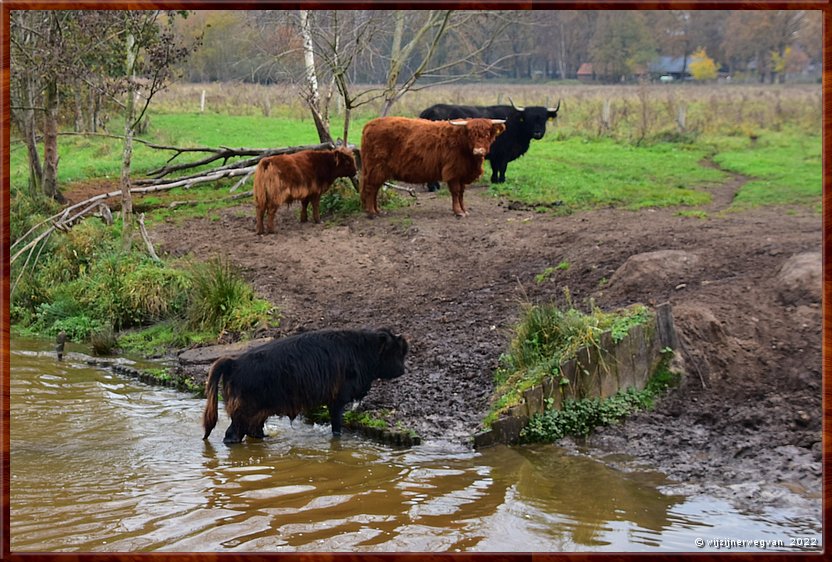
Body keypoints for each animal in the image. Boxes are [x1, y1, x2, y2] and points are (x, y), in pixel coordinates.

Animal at [202, 328, 410, 442]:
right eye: (395, 351)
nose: (402, 370)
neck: (361, 349)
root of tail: (234, 363)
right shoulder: (337, 401)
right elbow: (337, 427)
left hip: (258, 414)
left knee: (255, 431)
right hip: (244, 414)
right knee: (233, 434)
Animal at [420, 98, 564, 188]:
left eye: (544, 118)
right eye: (528, 118)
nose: (537, 133)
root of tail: (430, 110)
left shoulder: (495, 154)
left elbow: (495, 168)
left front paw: (494, 180)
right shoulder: (504, 153)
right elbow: (502, 167)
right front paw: (501, 181)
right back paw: (433, 186)